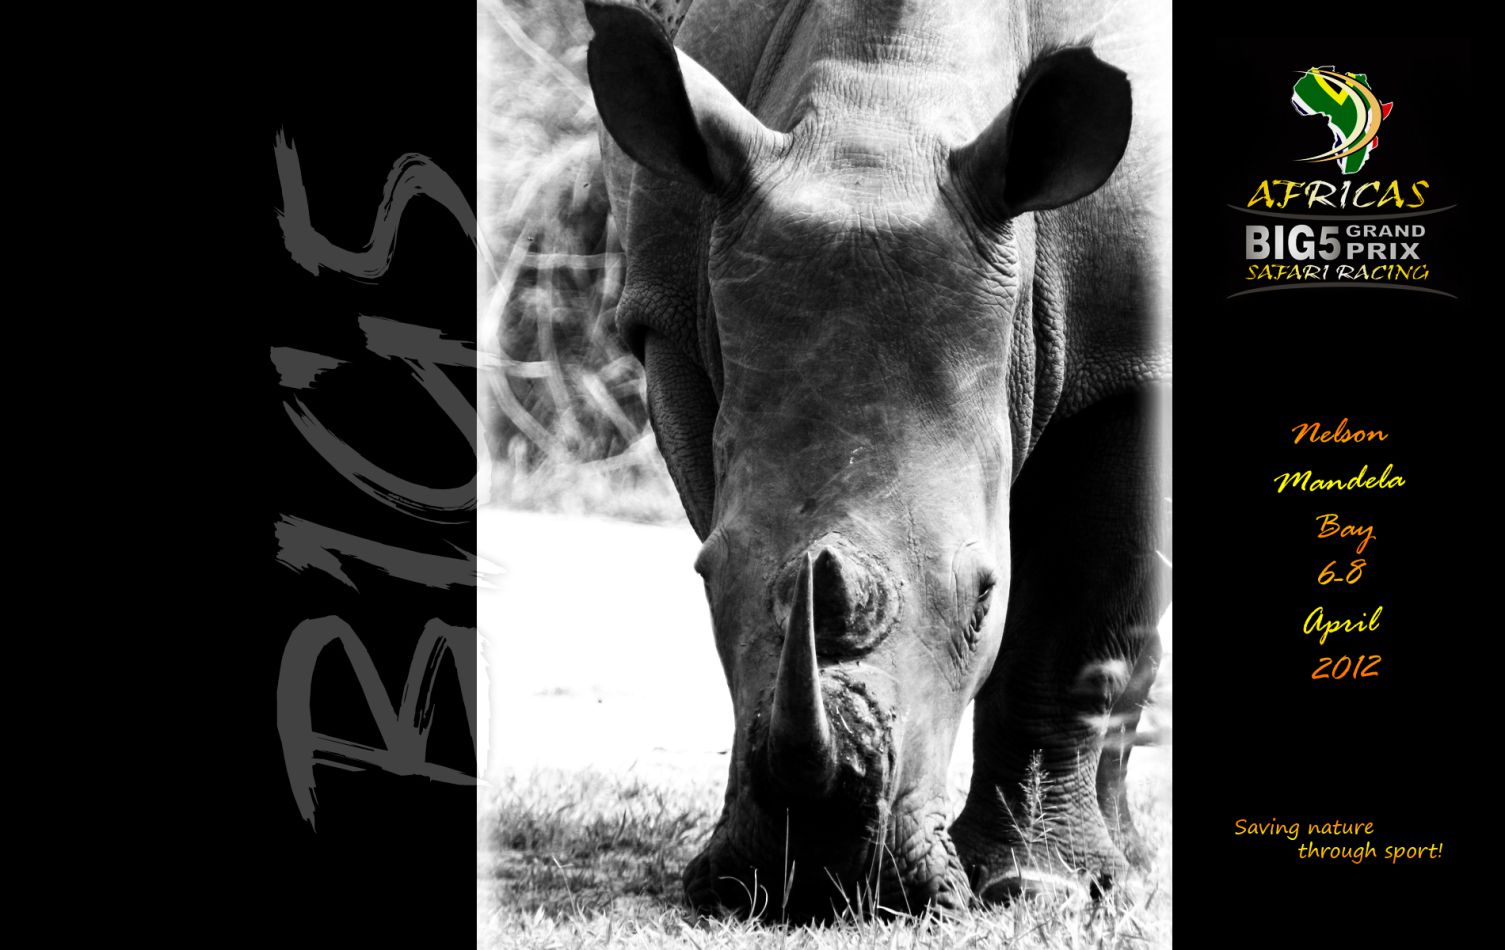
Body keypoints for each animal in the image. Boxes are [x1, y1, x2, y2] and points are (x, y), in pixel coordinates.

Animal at [582, 0, 1171, 918]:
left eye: (982, 599)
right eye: (703, 578)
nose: (821, 882)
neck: (884, 115)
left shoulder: (1131, 350)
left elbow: (1070, 613)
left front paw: (1037, 890)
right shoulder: (670, 318)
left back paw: (1117, 872)